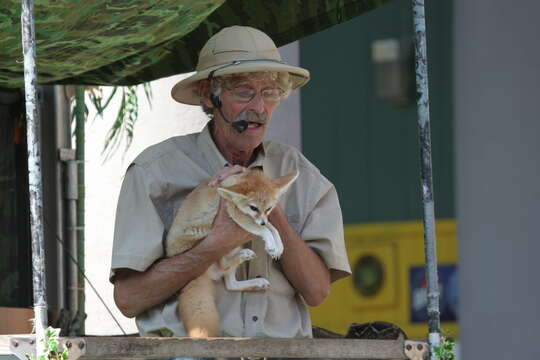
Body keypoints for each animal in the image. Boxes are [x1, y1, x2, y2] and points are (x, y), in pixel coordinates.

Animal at [166, 168, 298, 338]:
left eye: (268, 208)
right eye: (253, 208)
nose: (262, 221)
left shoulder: (260, 219)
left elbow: (273, 228)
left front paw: (278, 246)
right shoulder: (237, 216)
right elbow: (264, 230)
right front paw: (270, 242)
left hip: (235, 246)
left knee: (230, 284)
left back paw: (255, 280)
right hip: (216, 241)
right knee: (223, 265)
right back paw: (244, 256)